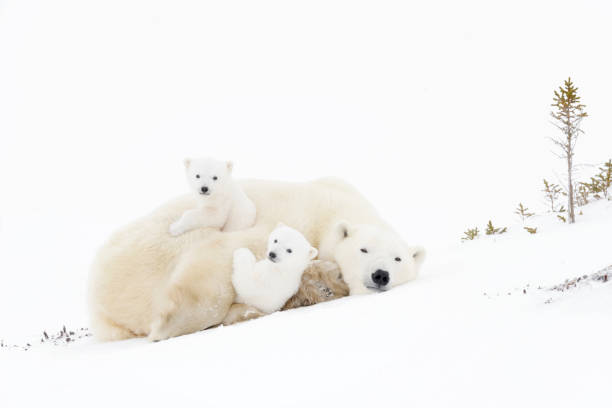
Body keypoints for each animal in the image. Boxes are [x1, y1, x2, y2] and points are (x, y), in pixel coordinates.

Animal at [88, 178, 426, 342]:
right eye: (364, 250)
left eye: (397, 258)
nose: (380, 275)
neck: (333, 209)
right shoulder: (296, 219)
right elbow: (234, 252)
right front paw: (169, 323)